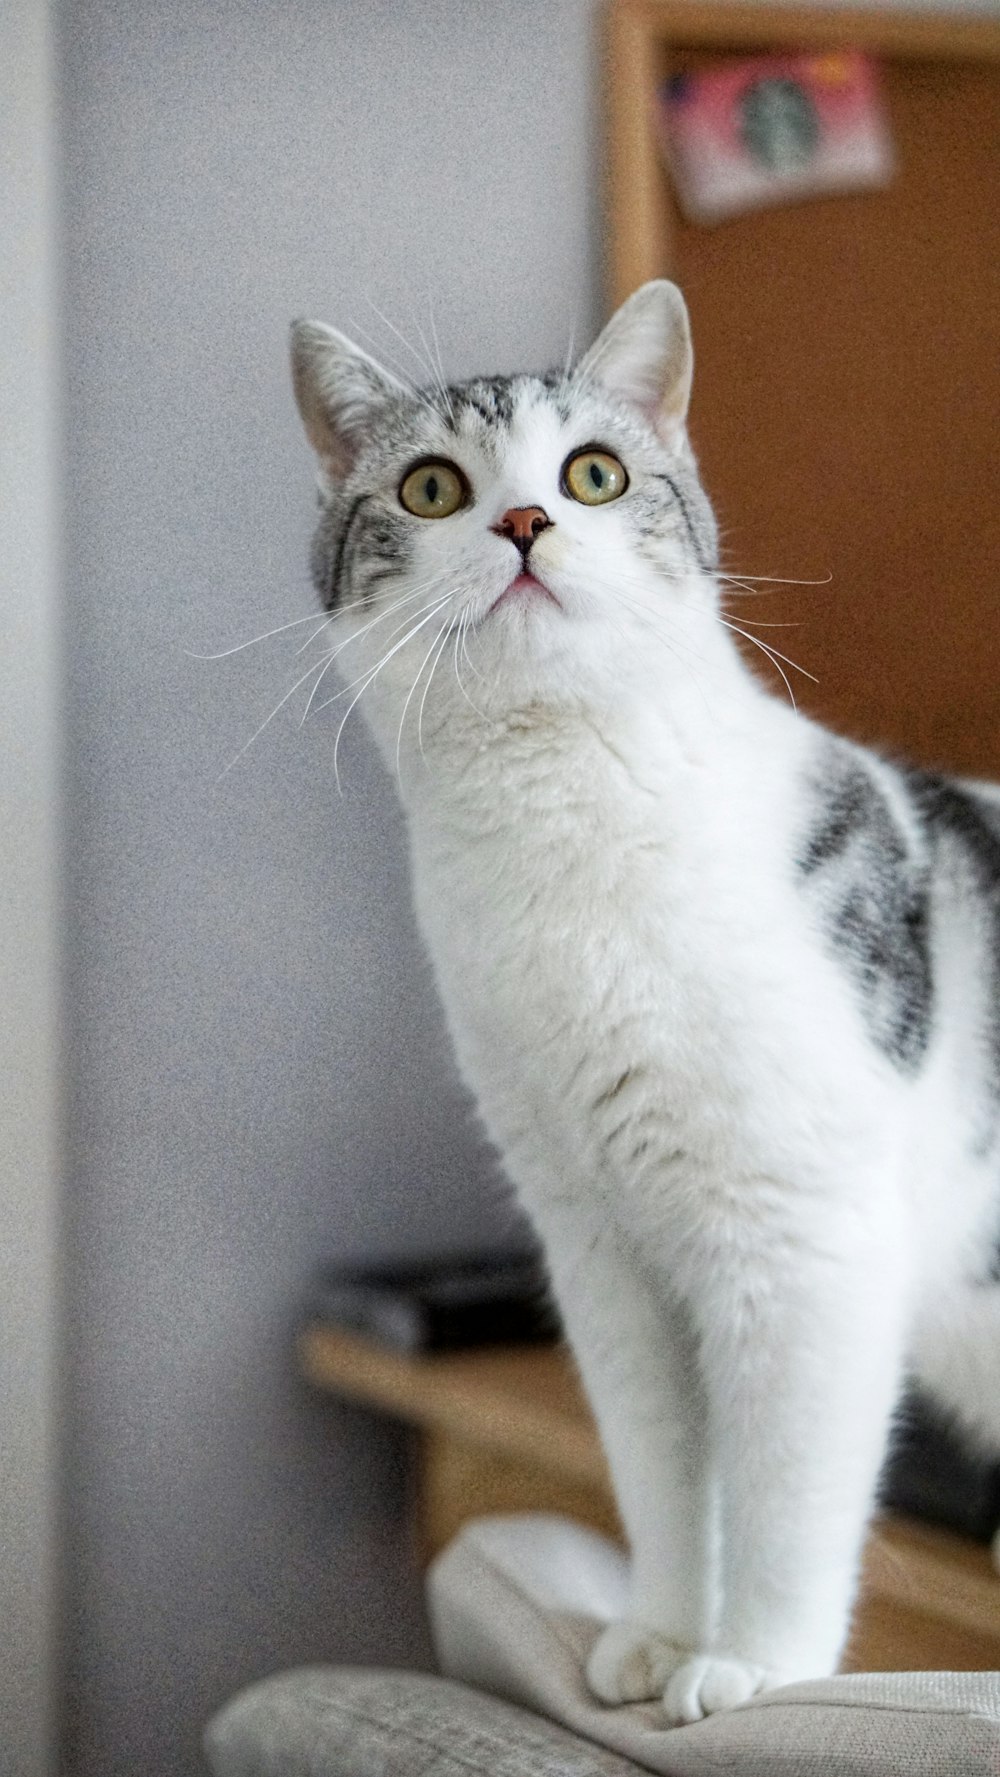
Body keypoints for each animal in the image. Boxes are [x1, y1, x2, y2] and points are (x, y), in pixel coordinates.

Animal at [287, 287, 1000, 1720]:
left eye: (593, 475)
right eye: (433, 487)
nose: (522, 523)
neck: (559, 826)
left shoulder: (805, 1243)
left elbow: (786, 1489)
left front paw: (755, 1669)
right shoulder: (600, 1252)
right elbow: (663, 1473)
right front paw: (662, 1638)